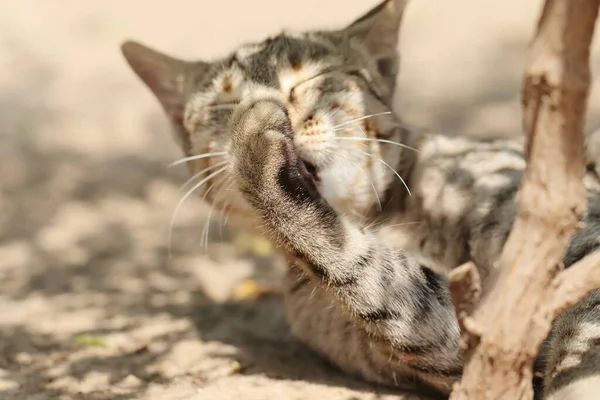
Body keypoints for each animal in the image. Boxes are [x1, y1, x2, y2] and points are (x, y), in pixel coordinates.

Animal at [120, 1, 600, 398]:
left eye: (313, 80)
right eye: (226, 104)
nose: (274, 105)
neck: (383, 218)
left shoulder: (574, 249)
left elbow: (583, 348)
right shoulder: (470, 336)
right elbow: (356, 262)